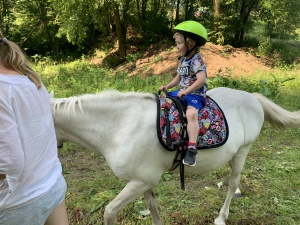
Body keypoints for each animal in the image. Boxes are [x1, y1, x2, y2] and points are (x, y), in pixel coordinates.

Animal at [50, 87, 300, 225]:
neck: (119, 125)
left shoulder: (140, 181)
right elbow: (152, 207)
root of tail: (252, 98)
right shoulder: (142, 181)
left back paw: (221, 217)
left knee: (232, 183)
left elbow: (110, 211)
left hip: (243, 151)